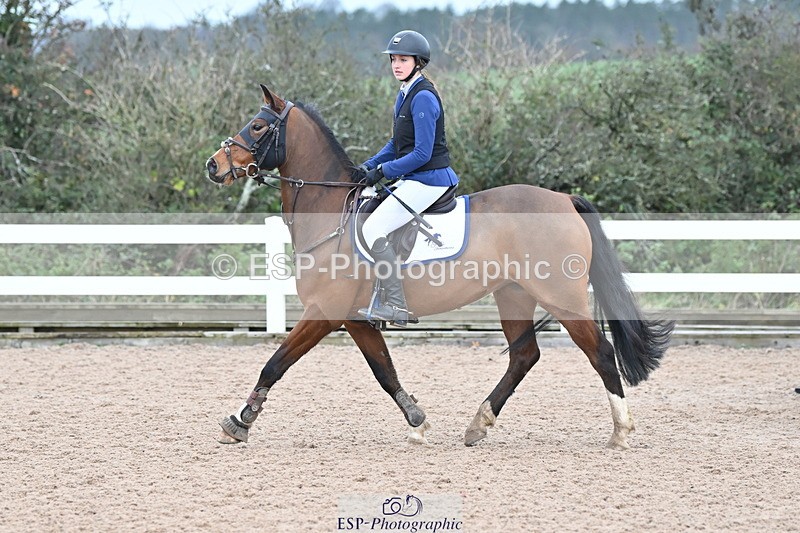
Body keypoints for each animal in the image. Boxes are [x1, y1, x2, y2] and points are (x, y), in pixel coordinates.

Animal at [205, 84, 674, 450]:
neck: (329, 209)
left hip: (562, 298)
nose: (214, 165)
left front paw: (240, 422)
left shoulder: (324, 312)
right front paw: (417, 420)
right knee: (524, 355)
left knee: (600, 352)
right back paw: (478, 424)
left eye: (258, 126)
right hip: (513, 294)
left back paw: (620, 432)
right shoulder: (355, 318)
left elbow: (275, 363)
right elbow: (384, 371)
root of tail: (564, 200)